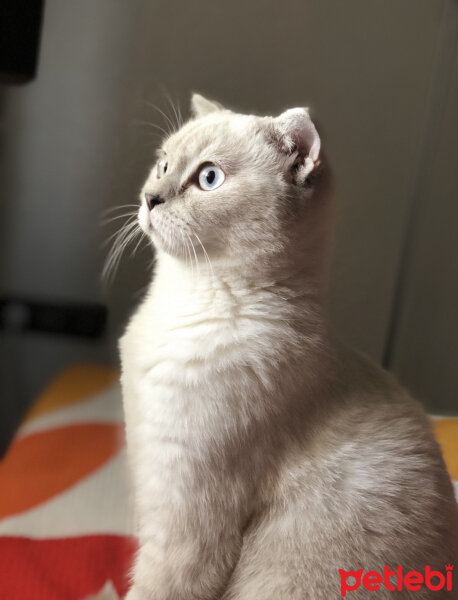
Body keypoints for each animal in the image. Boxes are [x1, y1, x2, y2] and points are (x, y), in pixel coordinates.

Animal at [119, 94, 458, 600]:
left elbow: (153, 587)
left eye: (209, 178)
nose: (150, 198)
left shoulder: (184, 520)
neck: (186, 300)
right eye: (162, 165)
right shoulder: (148, 478)